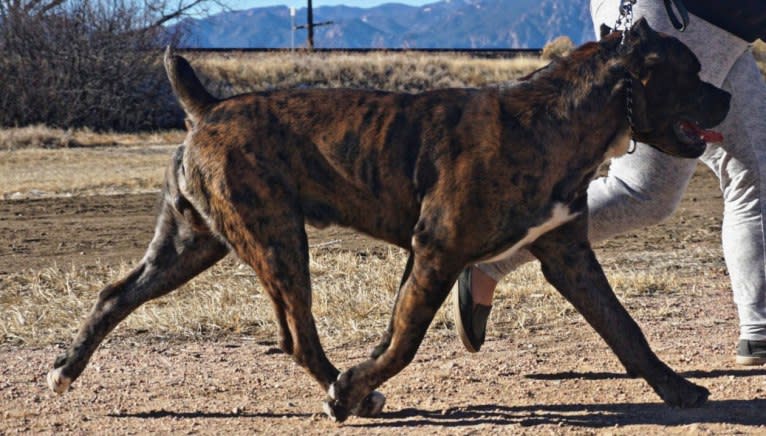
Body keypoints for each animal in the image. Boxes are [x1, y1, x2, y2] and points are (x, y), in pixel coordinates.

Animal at [48, 20, 732, 422]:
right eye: (692, 73)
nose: (727, 95)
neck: (557, 120)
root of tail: (209, 108)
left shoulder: (569, 257)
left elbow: (624, 329)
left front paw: (676, 390)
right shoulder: (436, 252)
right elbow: (404, 342)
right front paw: (352, 388)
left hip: (193, 243)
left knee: (115, 295)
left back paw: (65, 370)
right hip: (276, 241)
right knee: (297, 334)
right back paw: (346, 392)